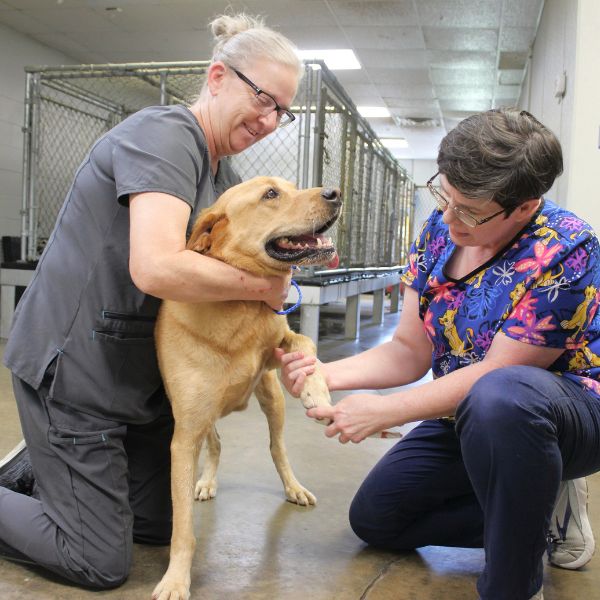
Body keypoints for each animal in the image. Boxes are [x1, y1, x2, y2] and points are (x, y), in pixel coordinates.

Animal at [152, 176, 340, 596]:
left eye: (292, 186)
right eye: (270, 194)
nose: (335, 193)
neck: (239, 307)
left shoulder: (275, 348)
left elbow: (306, 343)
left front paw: (315, 390)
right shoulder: (184, 436)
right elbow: (182, 527)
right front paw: (176, 579)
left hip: (271, 397)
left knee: (277, 447)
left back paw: (293, 487)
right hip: (207, 415)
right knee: (217, 444)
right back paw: (206, 482)